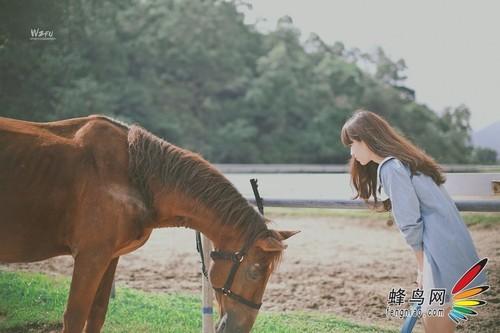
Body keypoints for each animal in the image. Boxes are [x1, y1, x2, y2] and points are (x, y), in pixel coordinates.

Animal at [0, 115, 296, 332]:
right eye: (255, 272)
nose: (239, 329)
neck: (133, 176)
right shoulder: (90, 257)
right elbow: (74, 316)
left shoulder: (108, 258)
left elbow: (96, 315)